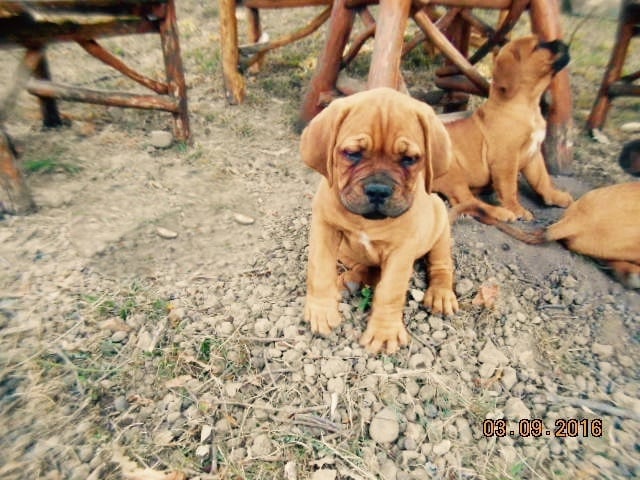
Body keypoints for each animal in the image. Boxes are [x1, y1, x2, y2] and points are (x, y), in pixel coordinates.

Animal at [302, 88, 458, 354]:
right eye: (353, 154)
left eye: (409, 159)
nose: (378, 190)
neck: (367, 222)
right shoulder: (325, 227)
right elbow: (320, 269)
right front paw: (321, 311)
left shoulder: (402, 251)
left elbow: (390, 290)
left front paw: (384, 333)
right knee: (365, 268)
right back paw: (350, 281)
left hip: (440, 229)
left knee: (441, 265)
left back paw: (440, 294)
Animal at [436, 35, 576, 223]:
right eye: (538, 46)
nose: (562, 42)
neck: (526, 105)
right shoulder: (506, 159)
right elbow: (509, 187)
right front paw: (516, 209)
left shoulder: (533, 155)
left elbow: (542, 180)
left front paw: (554, 197)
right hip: (452, 171)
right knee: (467, 201)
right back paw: (500, 212)